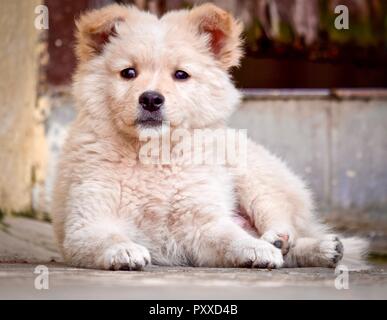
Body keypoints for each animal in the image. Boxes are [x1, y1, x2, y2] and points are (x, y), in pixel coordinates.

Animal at [52, 4, 370, 270]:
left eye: (181, 75)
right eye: (128, 73)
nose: (151, 99)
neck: (153, 154)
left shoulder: (202, 220)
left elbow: (231, 237)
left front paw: (257, 249)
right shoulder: (87, 222)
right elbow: (107, 237)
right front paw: (124, 251)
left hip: (253, 175)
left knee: (282, 218)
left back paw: (295, 242)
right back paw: (322, 249)